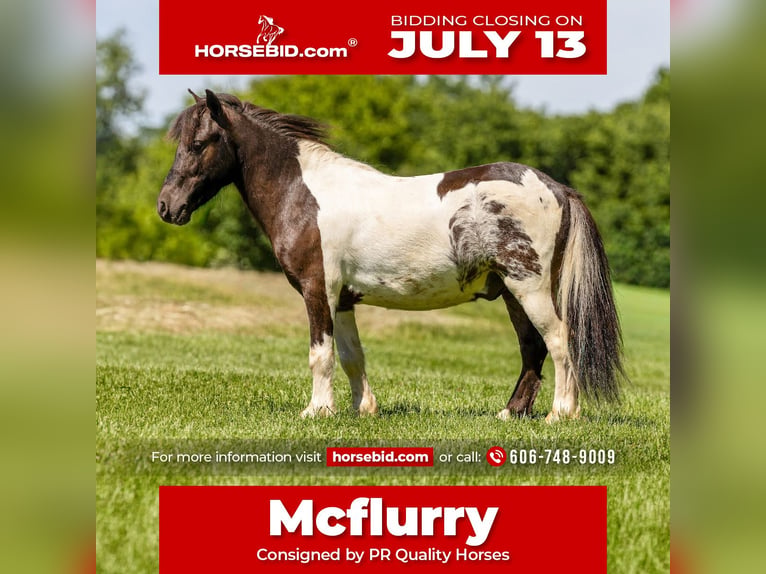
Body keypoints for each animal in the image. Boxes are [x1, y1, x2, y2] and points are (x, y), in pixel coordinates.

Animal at [157, 90, 625, 422]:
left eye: (199, 143)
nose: (166, 206)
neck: (305, 194)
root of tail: (556, 187)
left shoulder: (317, 289)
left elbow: (320, 354)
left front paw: (316, 411)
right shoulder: (343, 299)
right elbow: (351, 357)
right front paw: (361, 409)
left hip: (528, 286)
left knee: (559, 340)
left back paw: (560, 414)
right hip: (512, 291)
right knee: (533, 349)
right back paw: (510, 413)